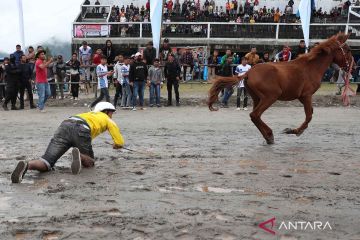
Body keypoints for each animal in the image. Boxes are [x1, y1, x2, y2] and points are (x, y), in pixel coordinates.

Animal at [208, 32, 352, 143]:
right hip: (271, 96)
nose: (353, 66)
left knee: (255, 116)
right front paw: (294, 131)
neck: (311, 67)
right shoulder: (306, 96)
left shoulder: (302, 97)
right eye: (348, 50)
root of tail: (249, 72)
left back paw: (268, 136)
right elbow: (309, 115)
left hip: (257, 98)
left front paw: (294, 130)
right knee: (255, 115)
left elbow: (310, 113)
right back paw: (269, 135)